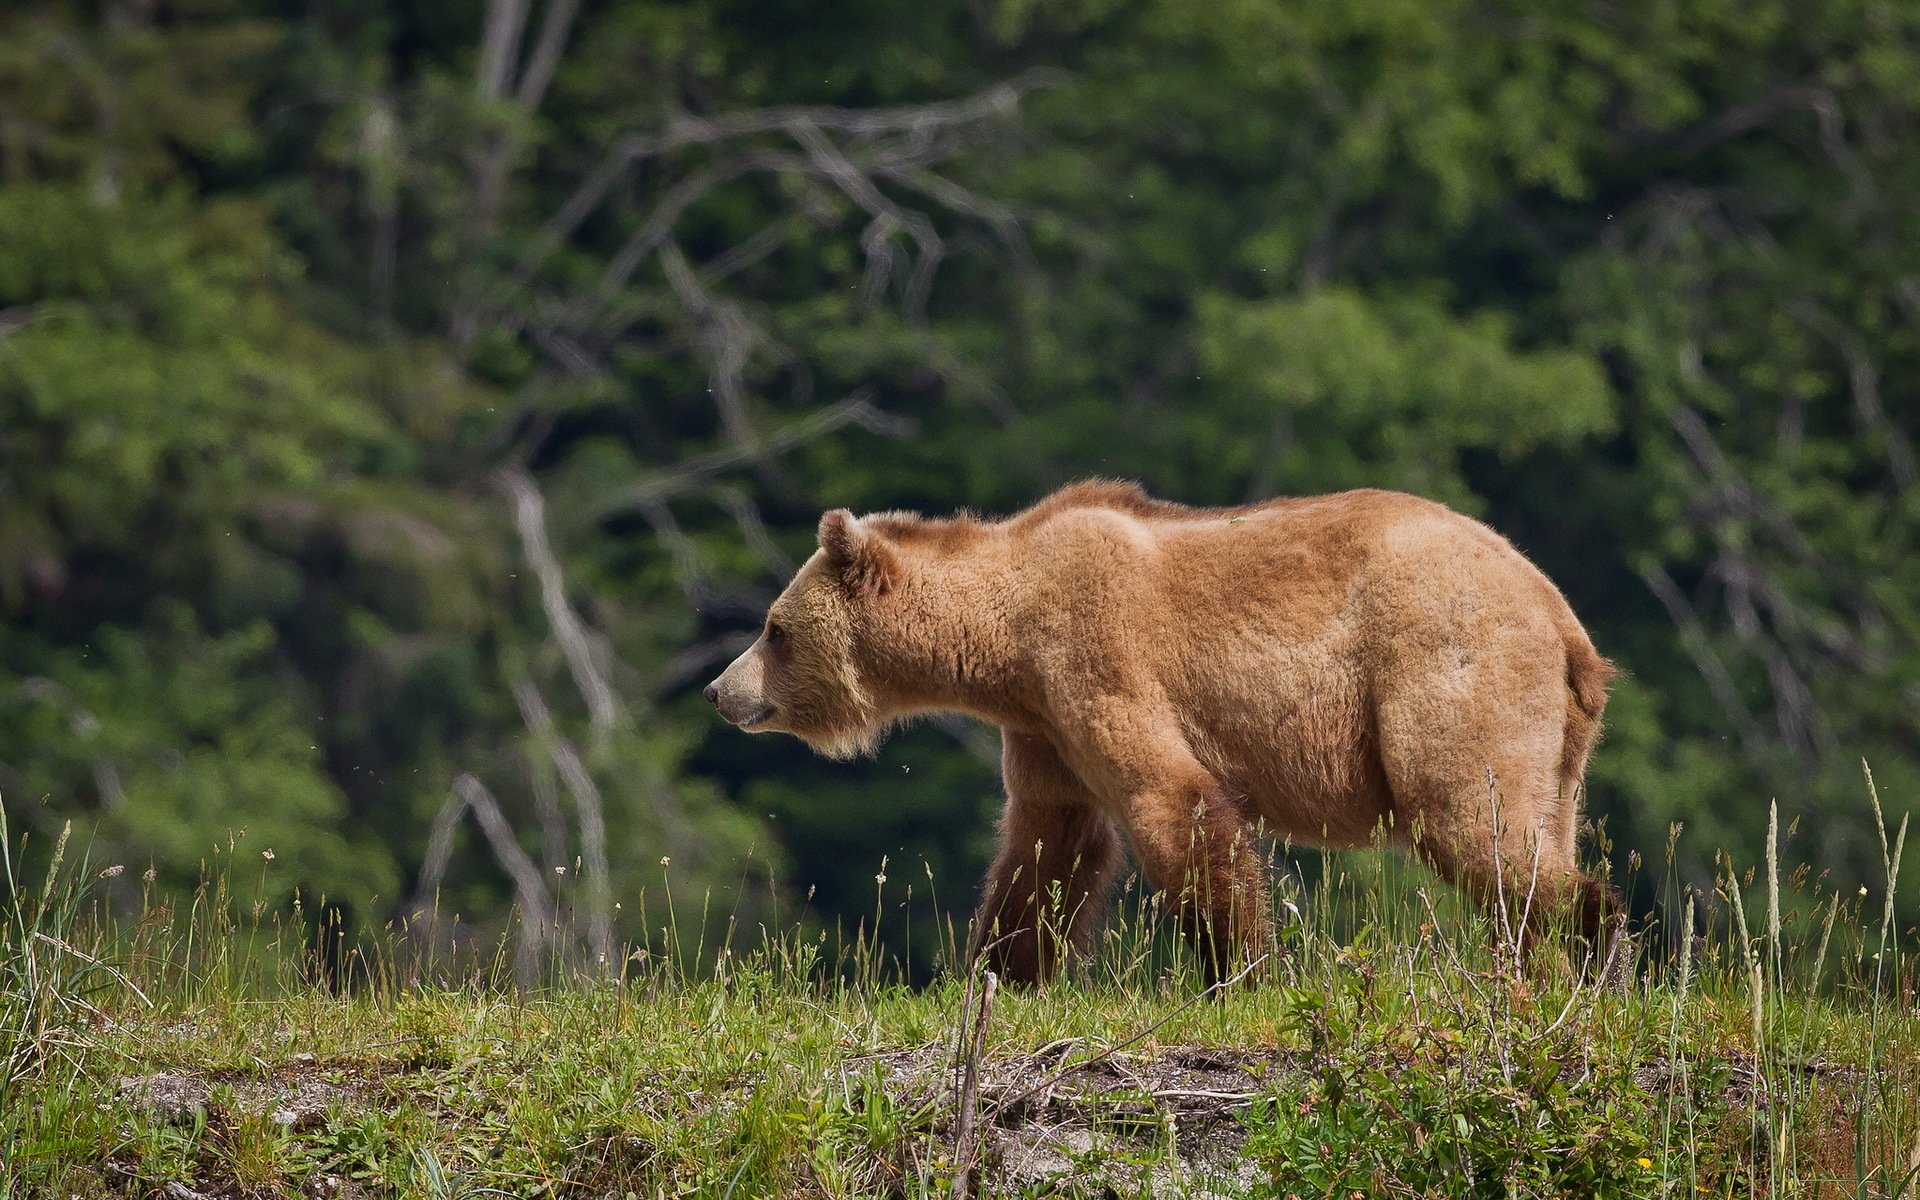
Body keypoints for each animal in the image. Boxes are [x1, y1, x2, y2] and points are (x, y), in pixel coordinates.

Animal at [698, 480, 1612, 983]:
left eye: (774, 629)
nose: (719, 691)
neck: (1004, 636)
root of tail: (1566, 620)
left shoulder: (1096, 654)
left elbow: (1174, 803)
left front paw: (1240, 969)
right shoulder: (1045, 730)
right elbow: (1046, 853)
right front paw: (996, 970)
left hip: (1446, 663)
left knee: (1473, 820)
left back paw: (1593, 942)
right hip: (1558, 741)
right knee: (1538, 826)